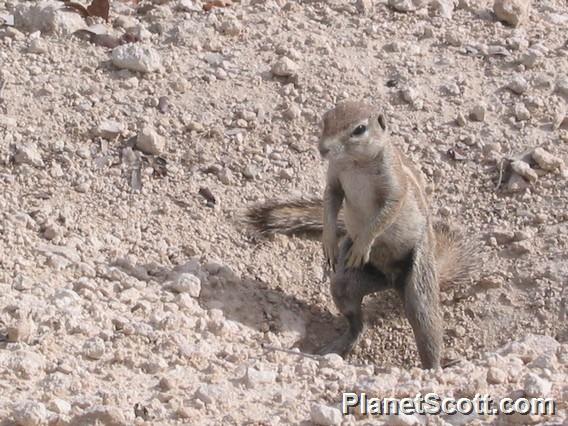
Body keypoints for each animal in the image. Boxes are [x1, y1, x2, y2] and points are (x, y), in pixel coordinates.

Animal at [246, 101, 478, 368]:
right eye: (325, 120)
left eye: (359, 129)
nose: (323, 149)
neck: (355, 162)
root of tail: (393, 281)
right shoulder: (334, 177)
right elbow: (331, 199)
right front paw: (329, 241)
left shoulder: (394, 184)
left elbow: (385, 214)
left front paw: (362, 245)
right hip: (348, 284)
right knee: (356, 318)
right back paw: (340, 343)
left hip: (419, 278)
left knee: (424, 319)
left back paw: (435, 368)